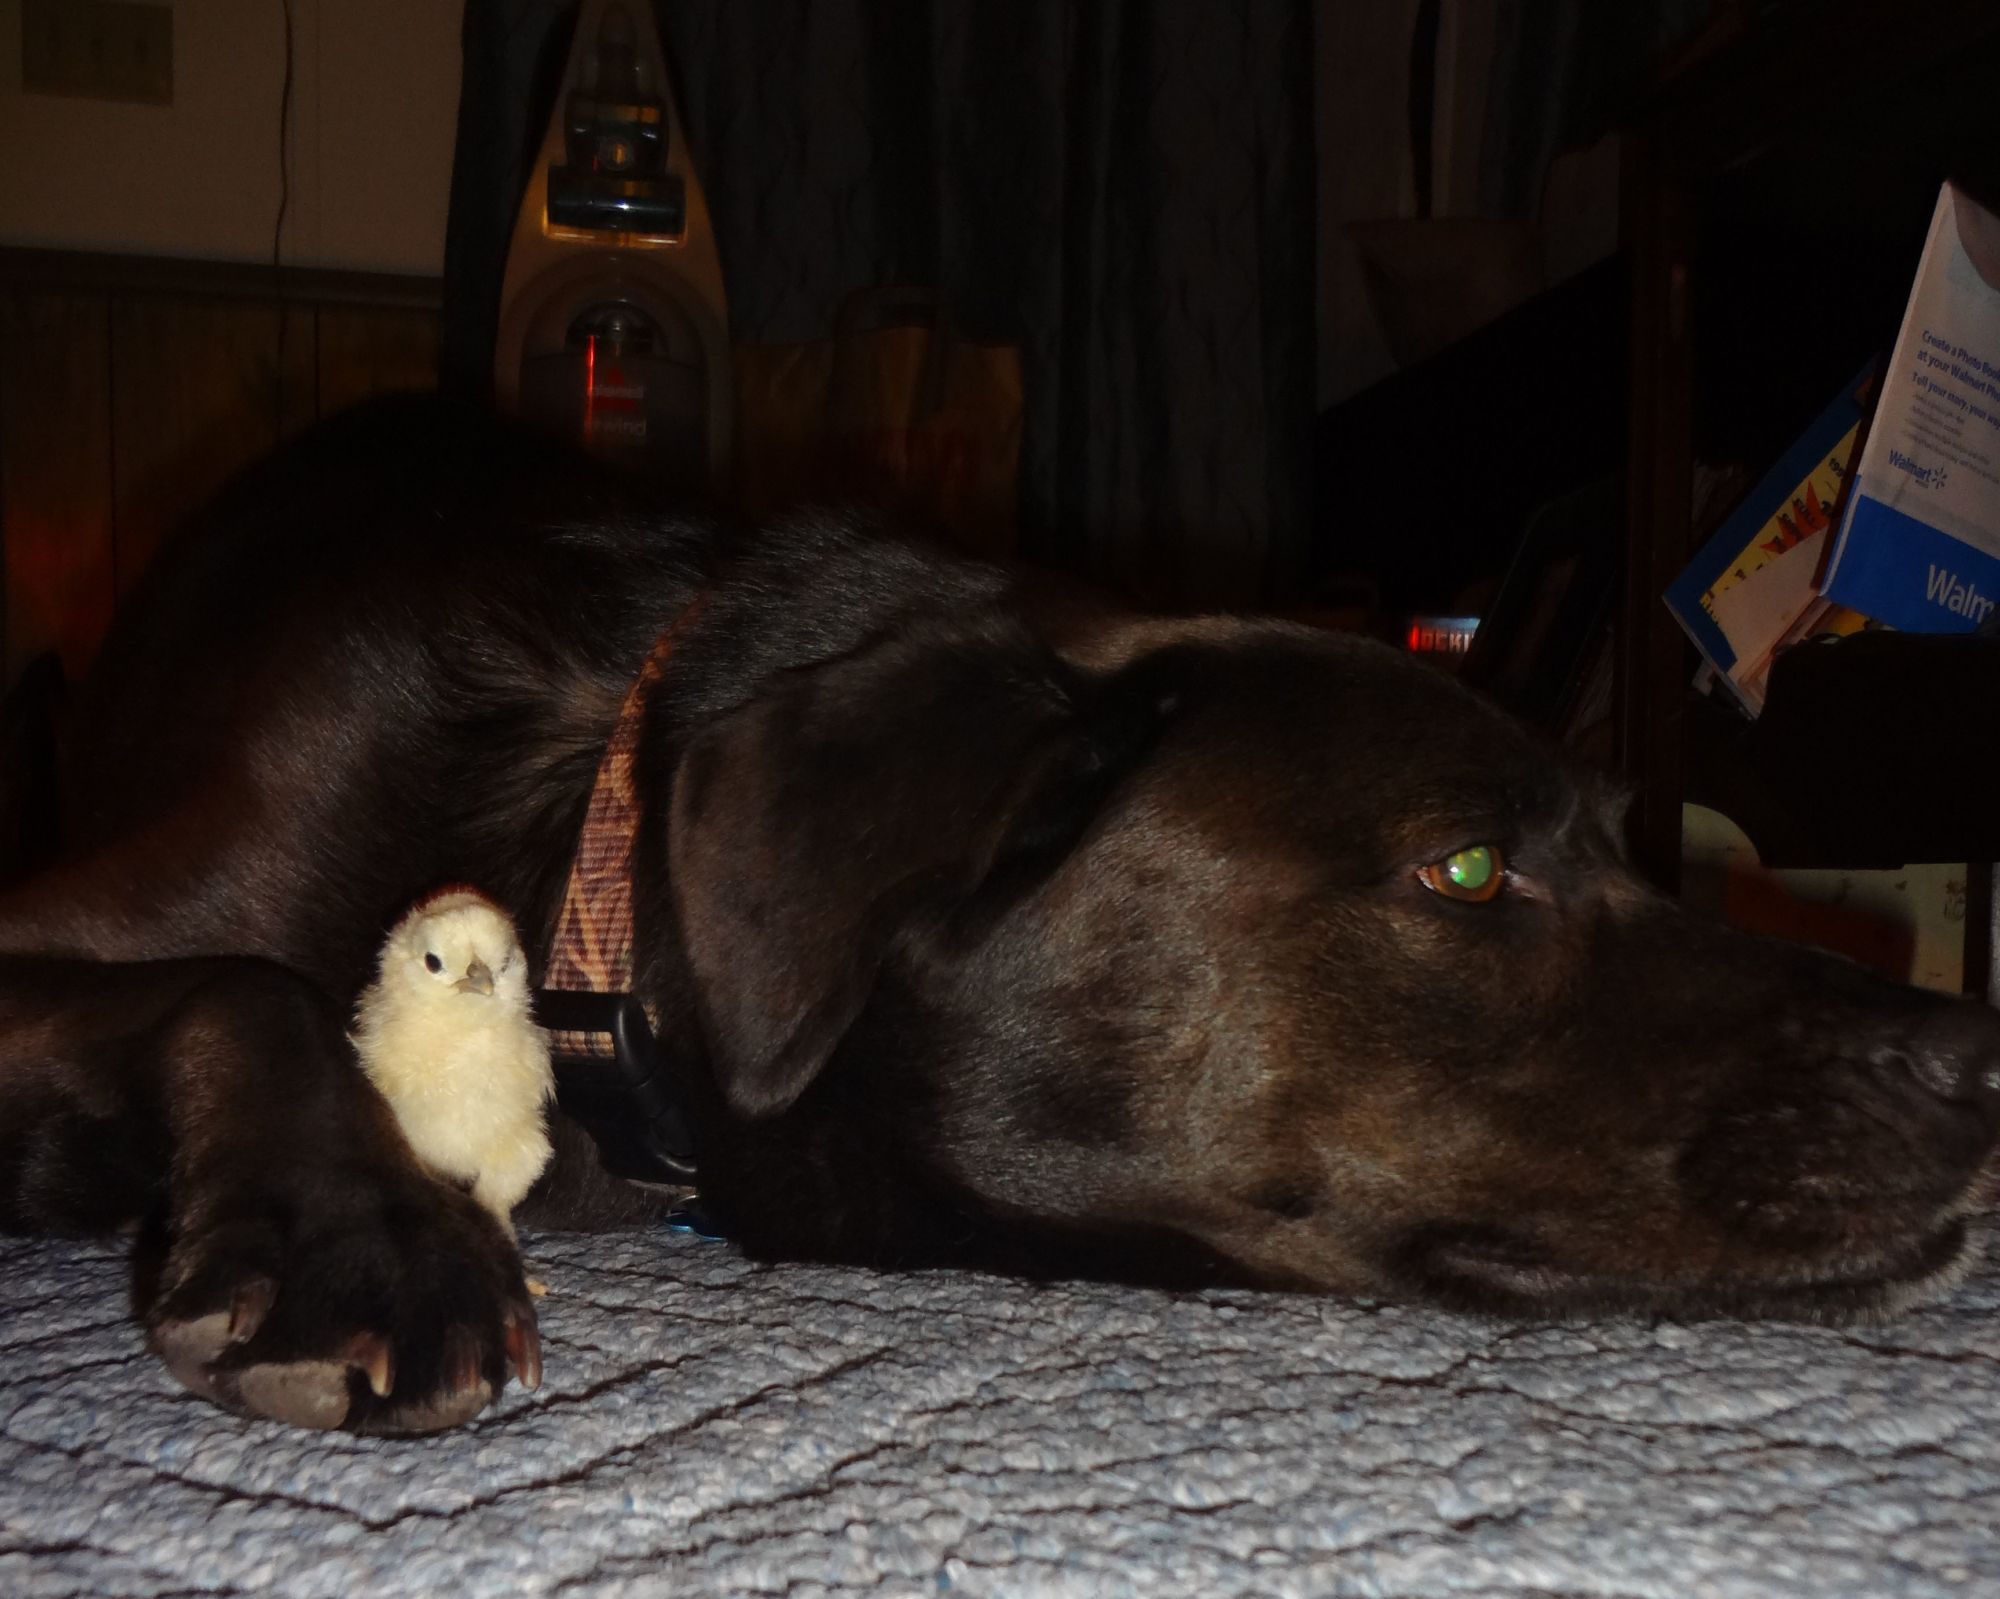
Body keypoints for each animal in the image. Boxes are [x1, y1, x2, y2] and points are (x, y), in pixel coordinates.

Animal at [1, 396, 1996, 1435]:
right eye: (1470, 869)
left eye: (1632, 846)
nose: (1981, 1053)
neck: (585, 849)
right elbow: (247, 983)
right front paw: (357, 1232)